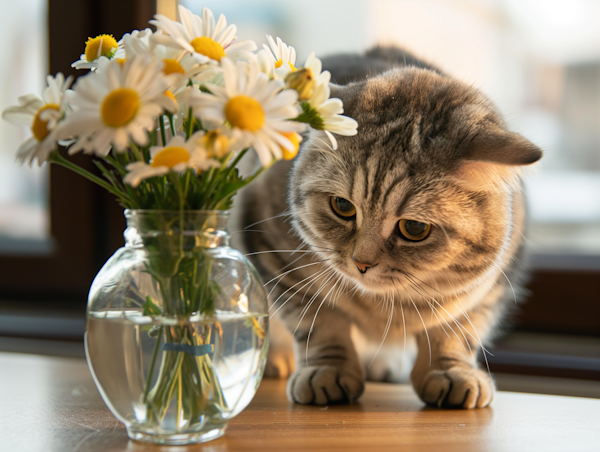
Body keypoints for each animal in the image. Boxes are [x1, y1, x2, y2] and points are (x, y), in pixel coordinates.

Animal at [232, 46, 540, 410]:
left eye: (414, 227)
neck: (385, 305)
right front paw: (327, 371)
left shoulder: (489, 288)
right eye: (342, 206)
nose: (362, 264)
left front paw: (451, 371)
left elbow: (456, 333)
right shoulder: (273, 253)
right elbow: (320, 323)